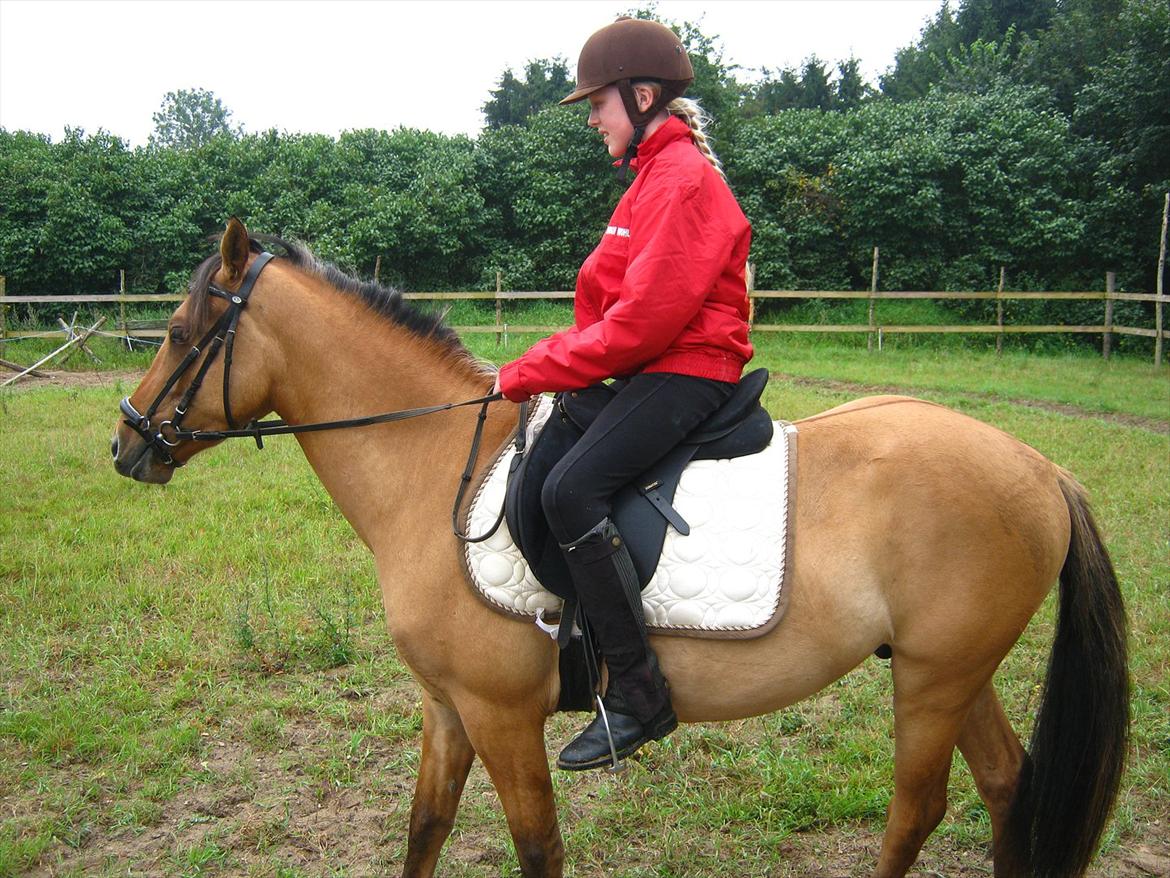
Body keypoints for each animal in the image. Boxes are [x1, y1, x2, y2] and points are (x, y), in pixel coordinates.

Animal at [111, 218, 1129, 878]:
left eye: (178, 332)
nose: (125, 443)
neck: (435, 464)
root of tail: (1042, 468)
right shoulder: (447, 708)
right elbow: (425, 830)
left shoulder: (500, 715)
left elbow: (536, 848)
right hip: (950, 669)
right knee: (1006, 786)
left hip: (933, 679)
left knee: (918, 810)